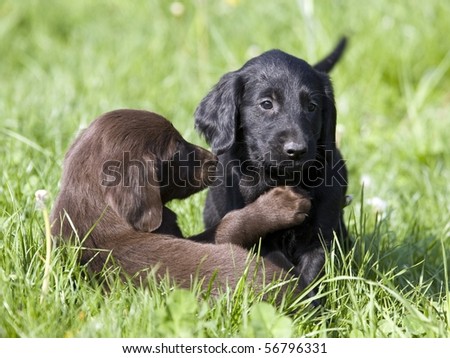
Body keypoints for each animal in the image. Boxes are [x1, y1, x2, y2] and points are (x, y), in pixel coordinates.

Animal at [194, 37, 348, 300]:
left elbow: (312, 273)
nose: (296, 150)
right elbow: (283, 269)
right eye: (266, 104)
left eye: (312, 106)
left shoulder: (320, 235)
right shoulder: (258, 236)